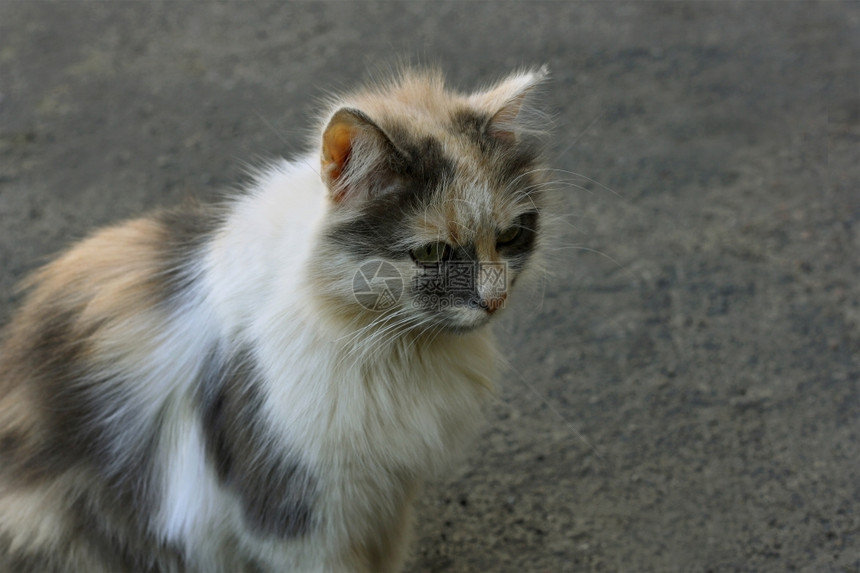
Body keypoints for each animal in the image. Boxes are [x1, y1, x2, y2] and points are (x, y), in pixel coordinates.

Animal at [0, 68, 552, 572]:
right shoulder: (299, 514)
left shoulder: (389, 502)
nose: (495, 299)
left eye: (510, 236)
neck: (396, 350)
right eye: (432, 253)